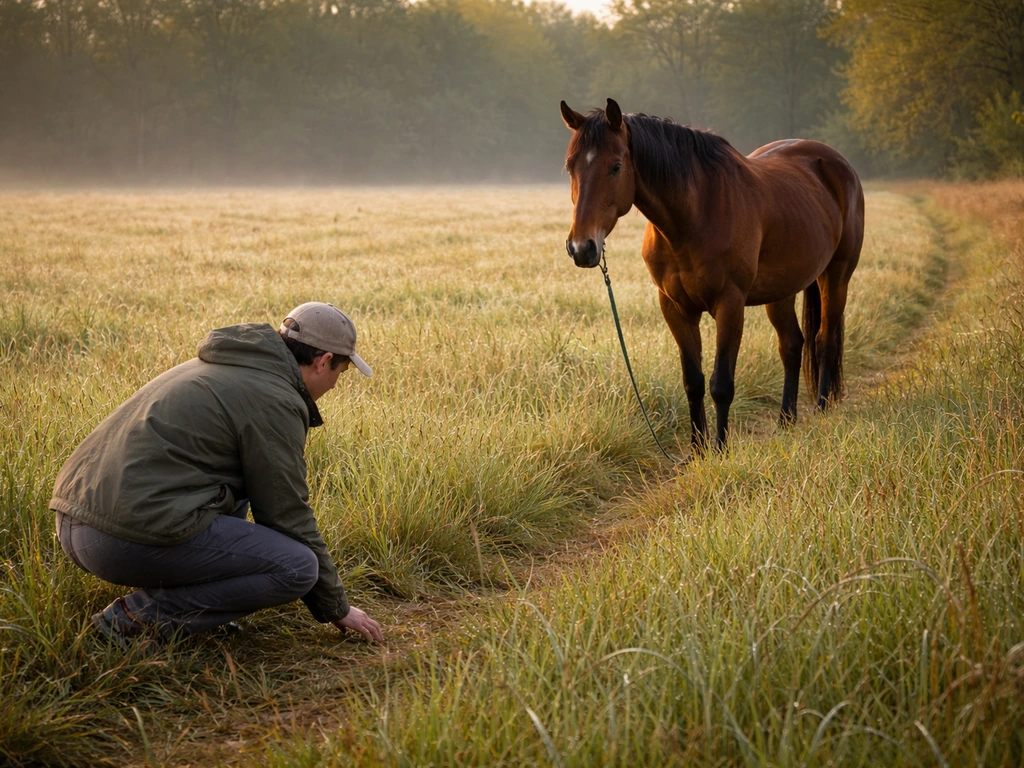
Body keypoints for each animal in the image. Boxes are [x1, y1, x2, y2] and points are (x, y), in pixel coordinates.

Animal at [560, 98, 864, 454]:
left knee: (825, 340)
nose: (582, 248)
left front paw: (720, 449)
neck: (694, 217)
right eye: (570, 167)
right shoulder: (675, 308)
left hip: (836, 276)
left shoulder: (729, 305)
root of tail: (833, 161)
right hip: (782, 290)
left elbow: (722, 384)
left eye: (616, 166)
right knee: (792, 345)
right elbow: (693, 382)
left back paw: (821, 410)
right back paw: (786, 420)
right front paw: (698, 449)